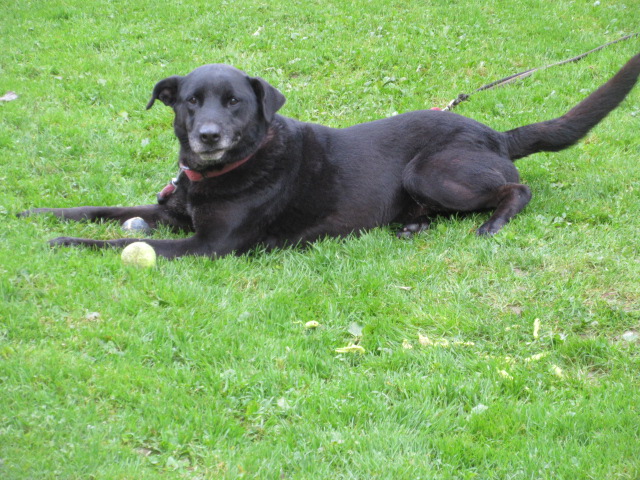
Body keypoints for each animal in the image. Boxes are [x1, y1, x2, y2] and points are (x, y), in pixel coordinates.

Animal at [21, 52, 640, 258]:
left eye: (236, 103)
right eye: (191, 102)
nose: (209, 136)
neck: (224, 171)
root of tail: (494, 134)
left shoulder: (208, 245)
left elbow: (122, 240)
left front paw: (64, 243)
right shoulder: (171, 210)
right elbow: (98, 210)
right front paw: (37, 215)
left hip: (431, 170)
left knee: (518, 187)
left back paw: (492, 223)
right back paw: (412, 227)